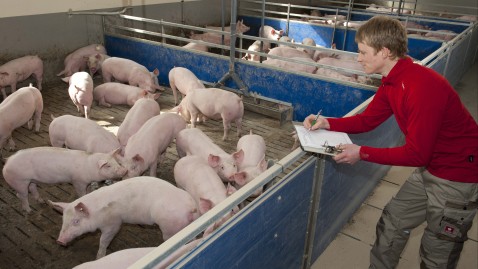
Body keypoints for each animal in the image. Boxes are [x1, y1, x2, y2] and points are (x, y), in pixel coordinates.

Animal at [50, 176, 202, 258]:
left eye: (76, 221)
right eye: (63, 220)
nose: (59, 241)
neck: (97, 213)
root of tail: (192, 207)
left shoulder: (113, 223)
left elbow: (104, 241)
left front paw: (99, 256)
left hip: (170, 226)